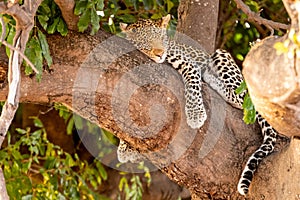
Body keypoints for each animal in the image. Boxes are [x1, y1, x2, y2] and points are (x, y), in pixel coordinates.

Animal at [118, 14, 278, 196]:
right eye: (145, 43)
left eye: (161, 39)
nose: (160, 54)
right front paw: (124, 147)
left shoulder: (188, 64)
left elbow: (193, 86)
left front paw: (196, 115)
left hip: (223, 58)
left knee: (241, 99)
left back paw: (212, 80)